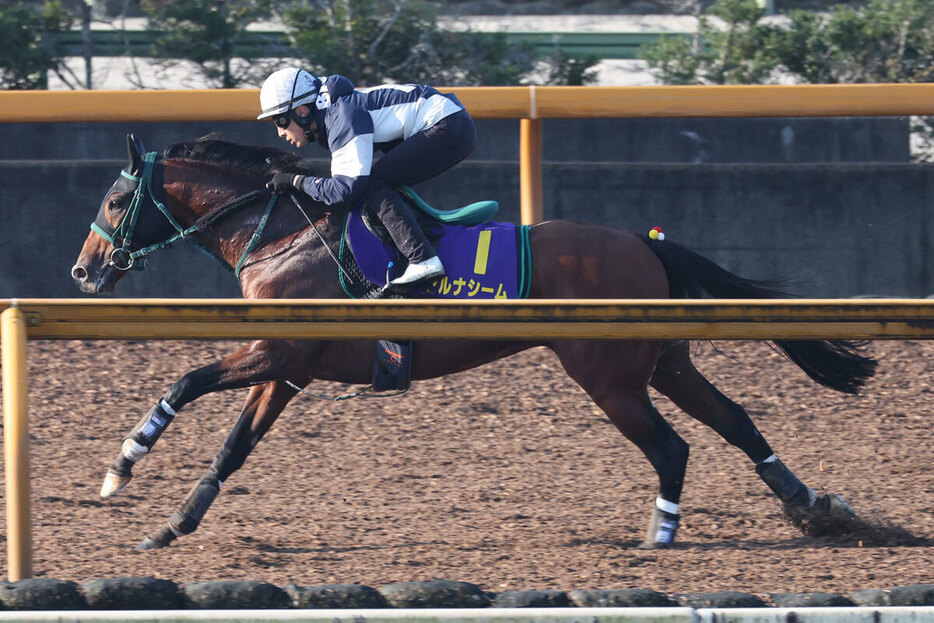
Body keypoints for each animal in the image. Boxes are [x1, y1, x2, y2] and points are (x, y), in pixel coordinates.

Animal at [71, 133, 876, 552]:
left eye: (114, 198)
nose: (82, 270)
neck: (280, 233)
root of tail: (643, 241)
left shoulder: (277, 355)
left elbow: (183, 382)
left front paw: (120, 469)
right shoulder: (287, 368)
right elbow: (233, 446)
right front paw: (170, 525)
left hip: (609, 377)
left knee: (673, 446)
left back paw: (663, 532)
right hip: (664, 362)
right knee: (736, 419)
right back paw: (811, 505)